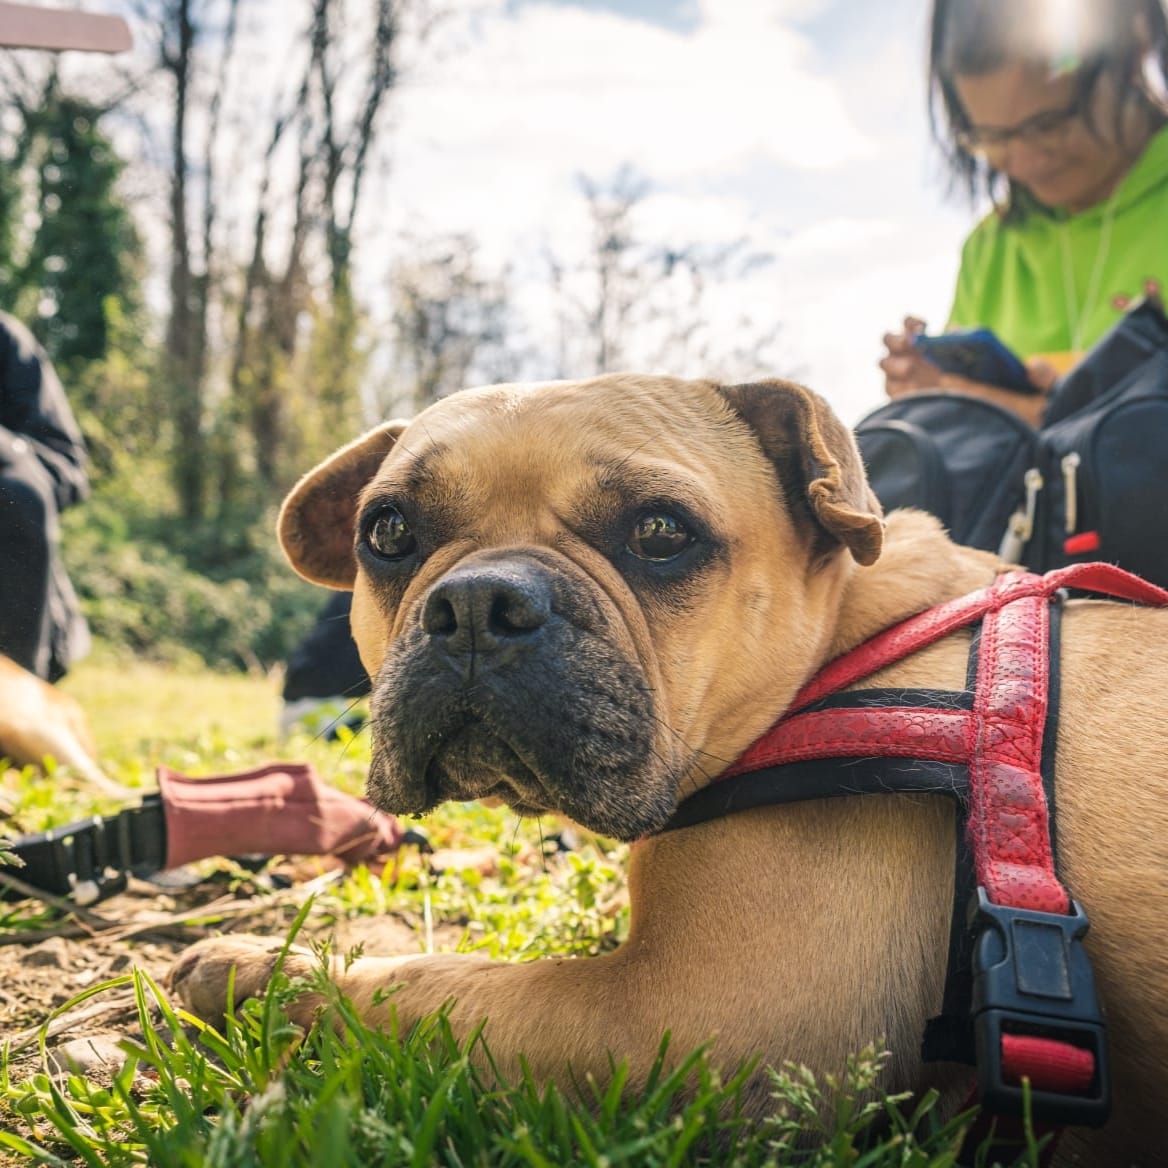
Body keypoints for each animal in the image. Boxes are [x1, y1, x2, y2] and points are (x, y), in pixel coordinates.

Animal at [172, 378, 1168, 1163]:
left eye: (659, 532)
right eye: (387, 532)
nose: (476, 603)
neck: (855, 643)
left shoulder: (676, 1021)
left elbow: (430, 983)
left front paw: (250, 967)